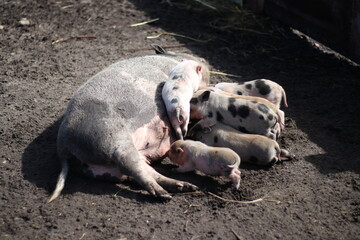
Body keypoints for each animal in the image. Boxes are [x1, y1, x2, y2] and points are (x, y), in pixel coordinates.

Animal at [48, 46, 210, 201]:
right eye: (199, 59)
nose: (204, 60)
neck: (172, 60)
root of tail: (63, 147)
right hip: (113, 139)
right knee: (132, 167)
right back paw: (164, 195)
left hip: (104, 167)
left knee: (145, 171)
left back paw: (185, 187)